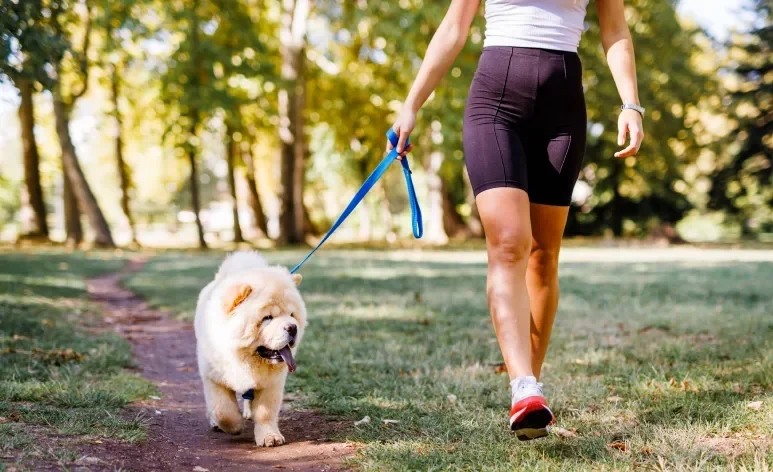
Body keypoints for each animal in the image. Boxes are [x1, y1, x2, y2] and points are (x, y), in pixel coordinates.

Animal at [195, 251, 306, 446]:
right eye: (267, 318)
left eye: (292, 315)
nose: (292, 327)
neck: (244, 358)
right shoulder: (214, 378)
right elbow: (223, 411)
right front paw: (235, 426)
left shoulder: (271, 383)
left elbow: (265, 412)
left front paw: (270, 436)